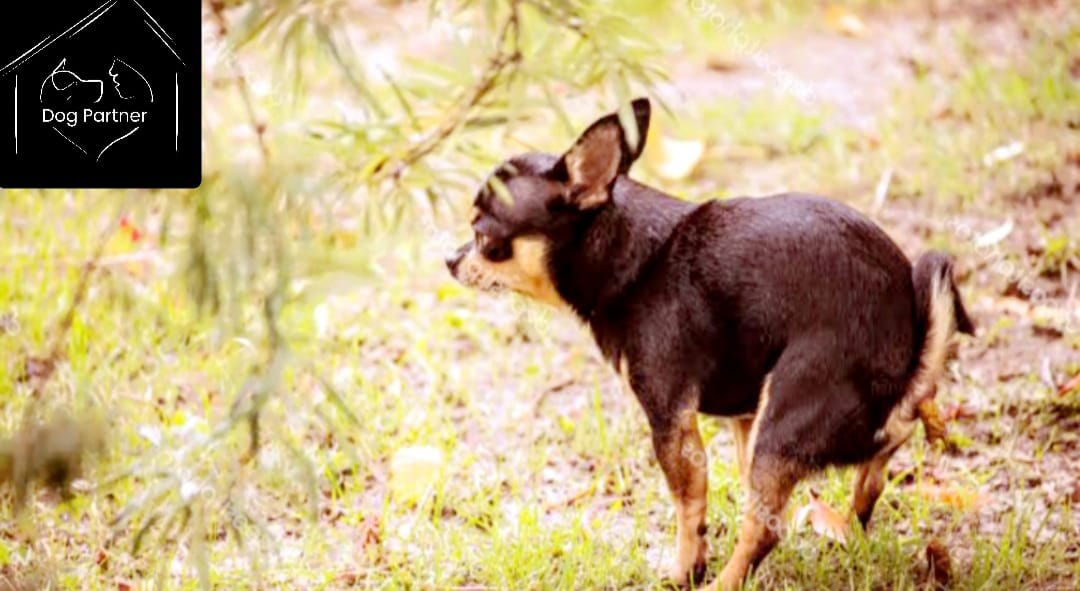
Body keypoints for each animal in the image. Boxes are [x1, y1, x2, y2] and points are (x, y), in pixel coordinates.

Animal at [442, 99, 976, 587]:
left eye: (485, 238)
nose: (450, 259)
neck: (631, 259)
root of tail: (906, 368)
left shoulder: (669, 417)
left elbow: (688, 503)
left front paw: (684, 570)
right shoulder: (743, 414)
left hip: (784, 423)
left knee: (766, 528)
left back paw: (725, 583)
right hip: (791, 432)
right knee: (866, 478)